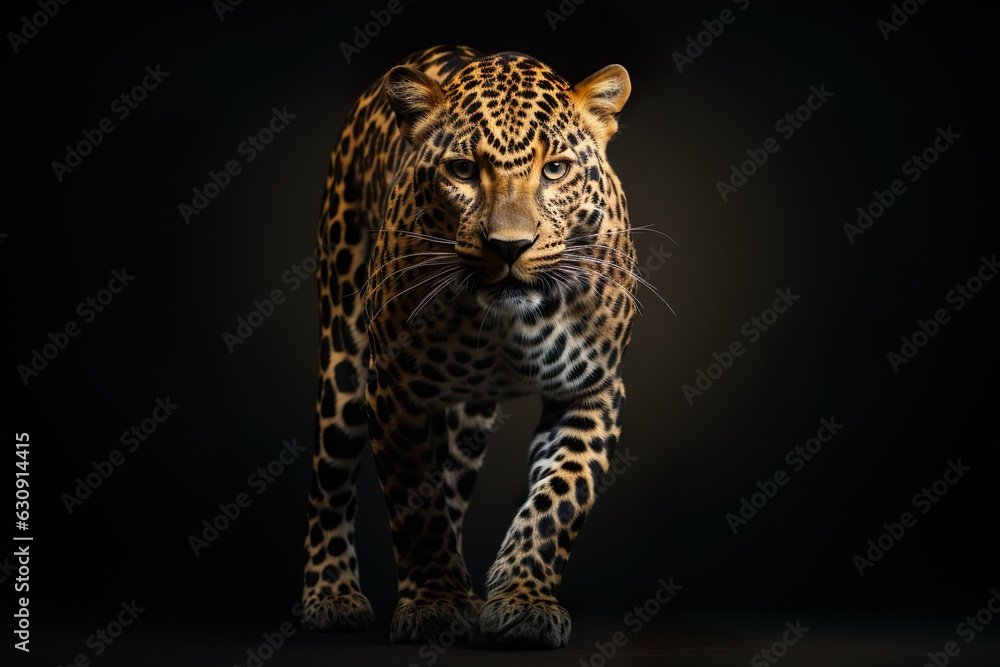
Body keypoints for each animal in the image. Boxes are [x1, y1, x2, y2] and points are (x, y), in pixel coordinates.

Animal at [301, 44, 642, 649]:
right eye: (462, 170)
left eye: (555, 169)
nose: (510, 247)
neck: (510, 325)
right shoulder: (393, 390)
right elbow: (416, 505)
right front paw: (435, 604)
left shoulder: (594, 389)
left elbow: (561, 497)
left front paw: (523, 602)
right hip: (342, 356)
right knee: (330, 479)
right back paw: (331, 594)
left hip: (468, 420)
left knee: (453, 483)